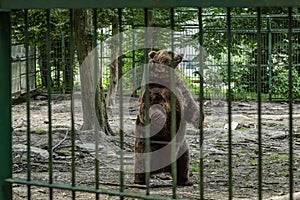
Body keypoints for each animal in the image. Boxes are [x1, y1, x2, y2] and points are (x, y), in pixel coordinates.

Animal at [135, 49, 203, 186]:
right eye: (169, 52)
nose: (181, 54)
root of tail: (162, 169)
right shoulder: (155, 92)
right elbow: (152, 107)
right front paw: (159, 118)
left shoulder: (181, 90)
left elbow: (190, 106)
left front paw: (200, 121)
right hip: (145, 145)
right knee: (141, 161)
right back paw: (140, 180)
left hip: (182, 148)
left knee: (183, 162)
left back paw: (186, 181)